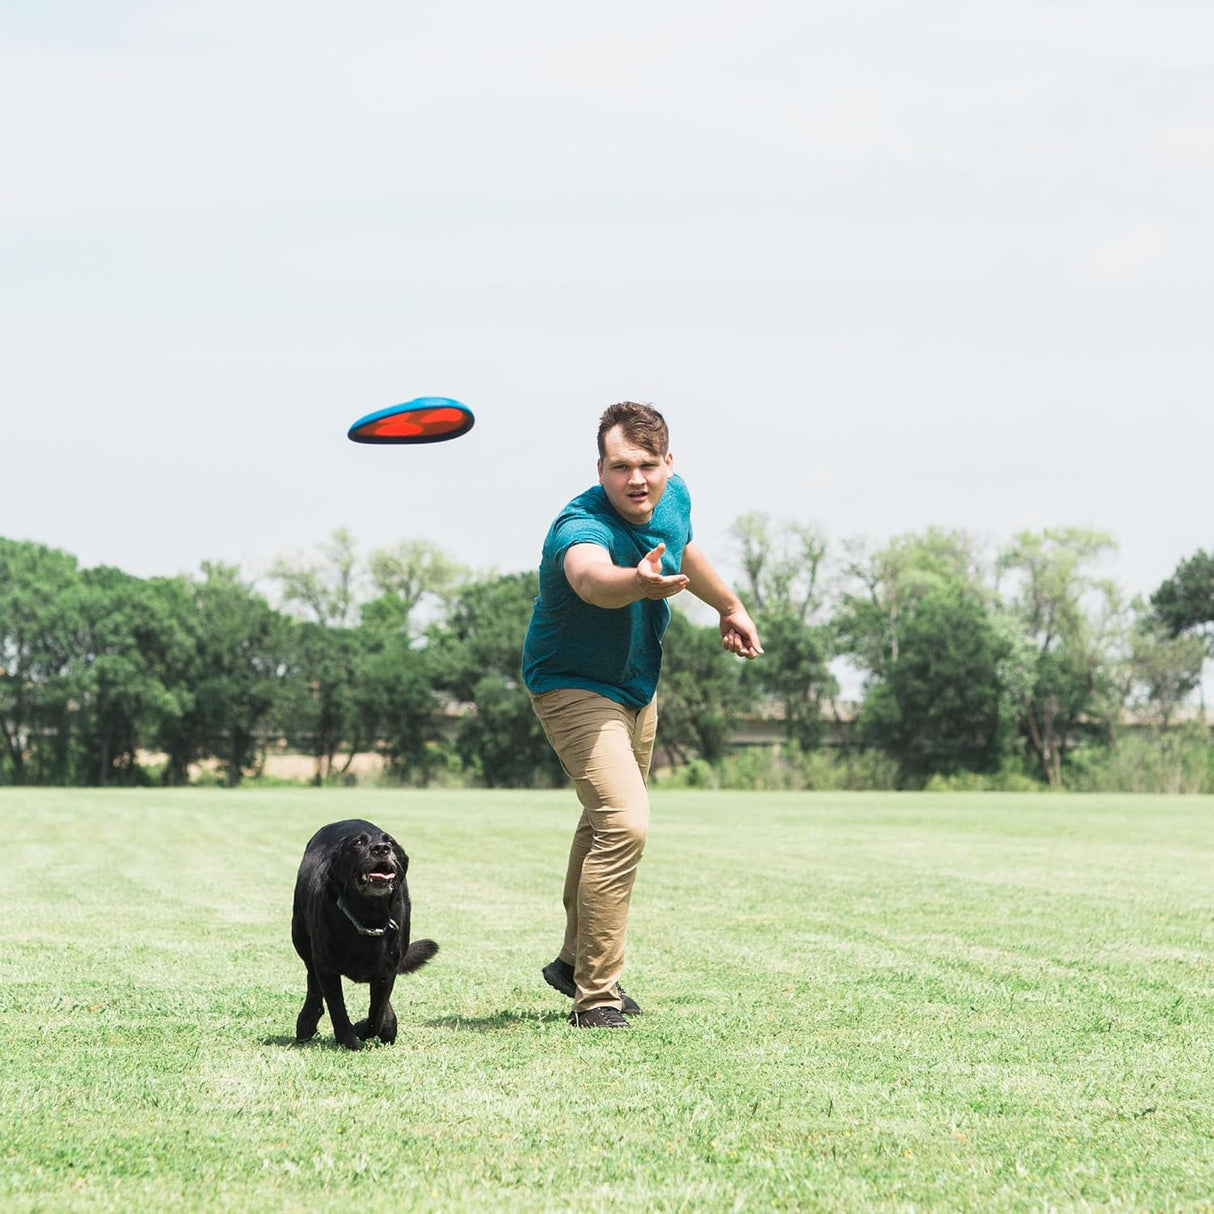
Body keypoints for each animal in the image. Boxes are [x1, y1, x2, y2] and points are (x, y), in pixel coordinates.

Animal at [291, 820, 439, 1048]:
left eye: (391, 842)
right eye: (357, 843)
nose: (381, 848)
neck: (368, 916)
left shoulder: (387, 971)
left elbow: (376, 1015)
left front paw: (366, 1027)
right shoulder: (327, 968)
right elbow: (338, 1009)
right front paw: (349, 1040)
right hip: (300, 937)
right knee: (312, 979)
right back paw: (307, 1021)